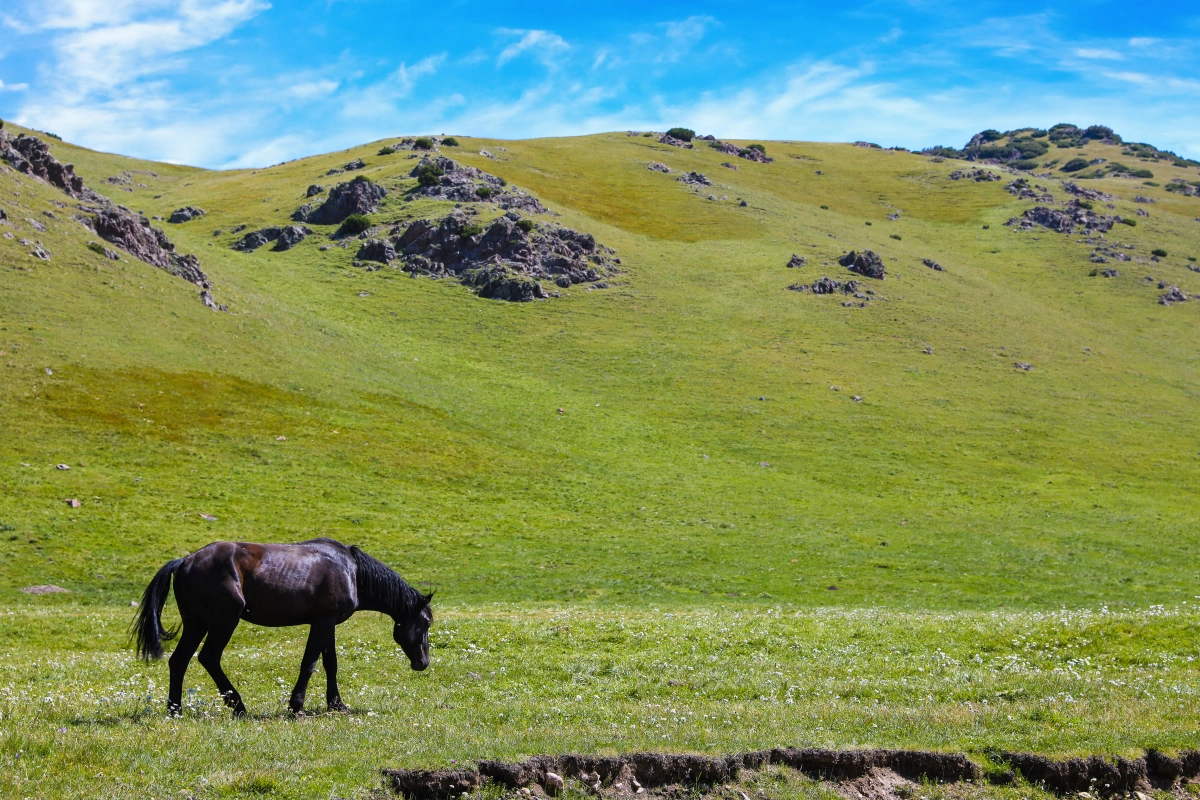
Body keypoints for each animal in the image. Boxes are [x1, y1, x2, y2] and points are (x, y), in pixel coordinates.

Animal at [132, 537, 432, 719]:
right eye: (426, 622)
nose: (424, 662)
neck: (352, 572)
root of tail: (185, 561)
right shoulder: (322, 623)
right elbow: (309, 663)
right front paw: (296, 706)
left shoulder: (328, 625)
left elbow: (330, 664)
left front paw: (337, 704)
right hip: (223, 621)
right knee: (209, 658)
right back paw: (238, 706)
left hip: (196, 623)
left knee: (179, 661)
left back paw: (175, 710)